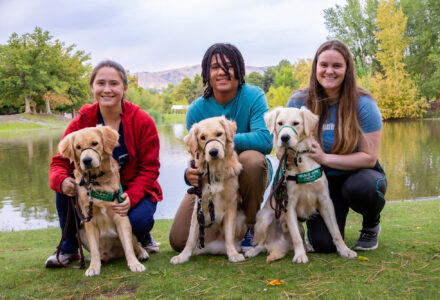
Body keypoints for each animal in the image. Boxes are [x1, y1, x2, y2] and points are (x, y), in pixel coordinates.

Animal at [58, 125, 149, 276]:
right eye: (78, 147)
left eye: (94, 143)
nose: (86, 160)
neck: (97, 180)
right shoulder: (89, 220)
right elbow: (94, 249)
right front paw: (94, 267)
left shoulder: (121, 216)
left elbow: (129, 246)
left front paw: (135, 264)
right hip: (80, 233)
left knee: (136, 244)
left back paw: (142, 253)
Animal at [169, 116, 246, 264]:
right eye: (202, 138)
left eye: (219, 134)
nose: (213, 152)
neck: (215, 169)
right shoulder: (199, 207)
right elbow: (190, 237)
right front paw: (183, 255)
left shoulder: (231, 205)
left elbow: (229, 234)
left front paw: (233, 253)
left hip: (241, 217)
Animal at [246, 107, 356, 262]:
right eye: (280, 123)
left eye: (296, 123)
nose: (284, 137)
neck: (298, 159)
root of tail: (277, 242)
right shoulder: (288, 204)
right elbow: (296, 238)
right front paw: (299, 255)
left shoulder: (325, 201)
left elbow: (336, 232)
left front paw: (345, 250)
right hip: (263, 220)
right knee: (262, 243)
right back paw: (253, 250)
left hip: (300, 226)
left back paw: (307, 247)